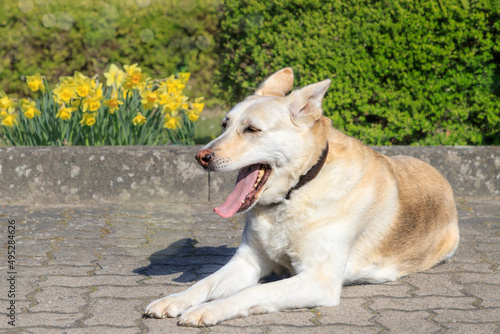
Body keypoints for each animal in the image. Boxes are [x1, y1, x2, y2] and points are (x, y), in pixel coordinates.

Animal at [143, 67, 458, 326]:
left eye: (252, 129)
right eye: (224, 125)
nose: (201, 157)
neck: (293, 194)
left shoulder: (318, 280)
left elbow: (252, 292)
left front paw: (207, 309)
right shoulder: (248, 261)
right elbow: (204, 283)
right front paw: (174, 300)